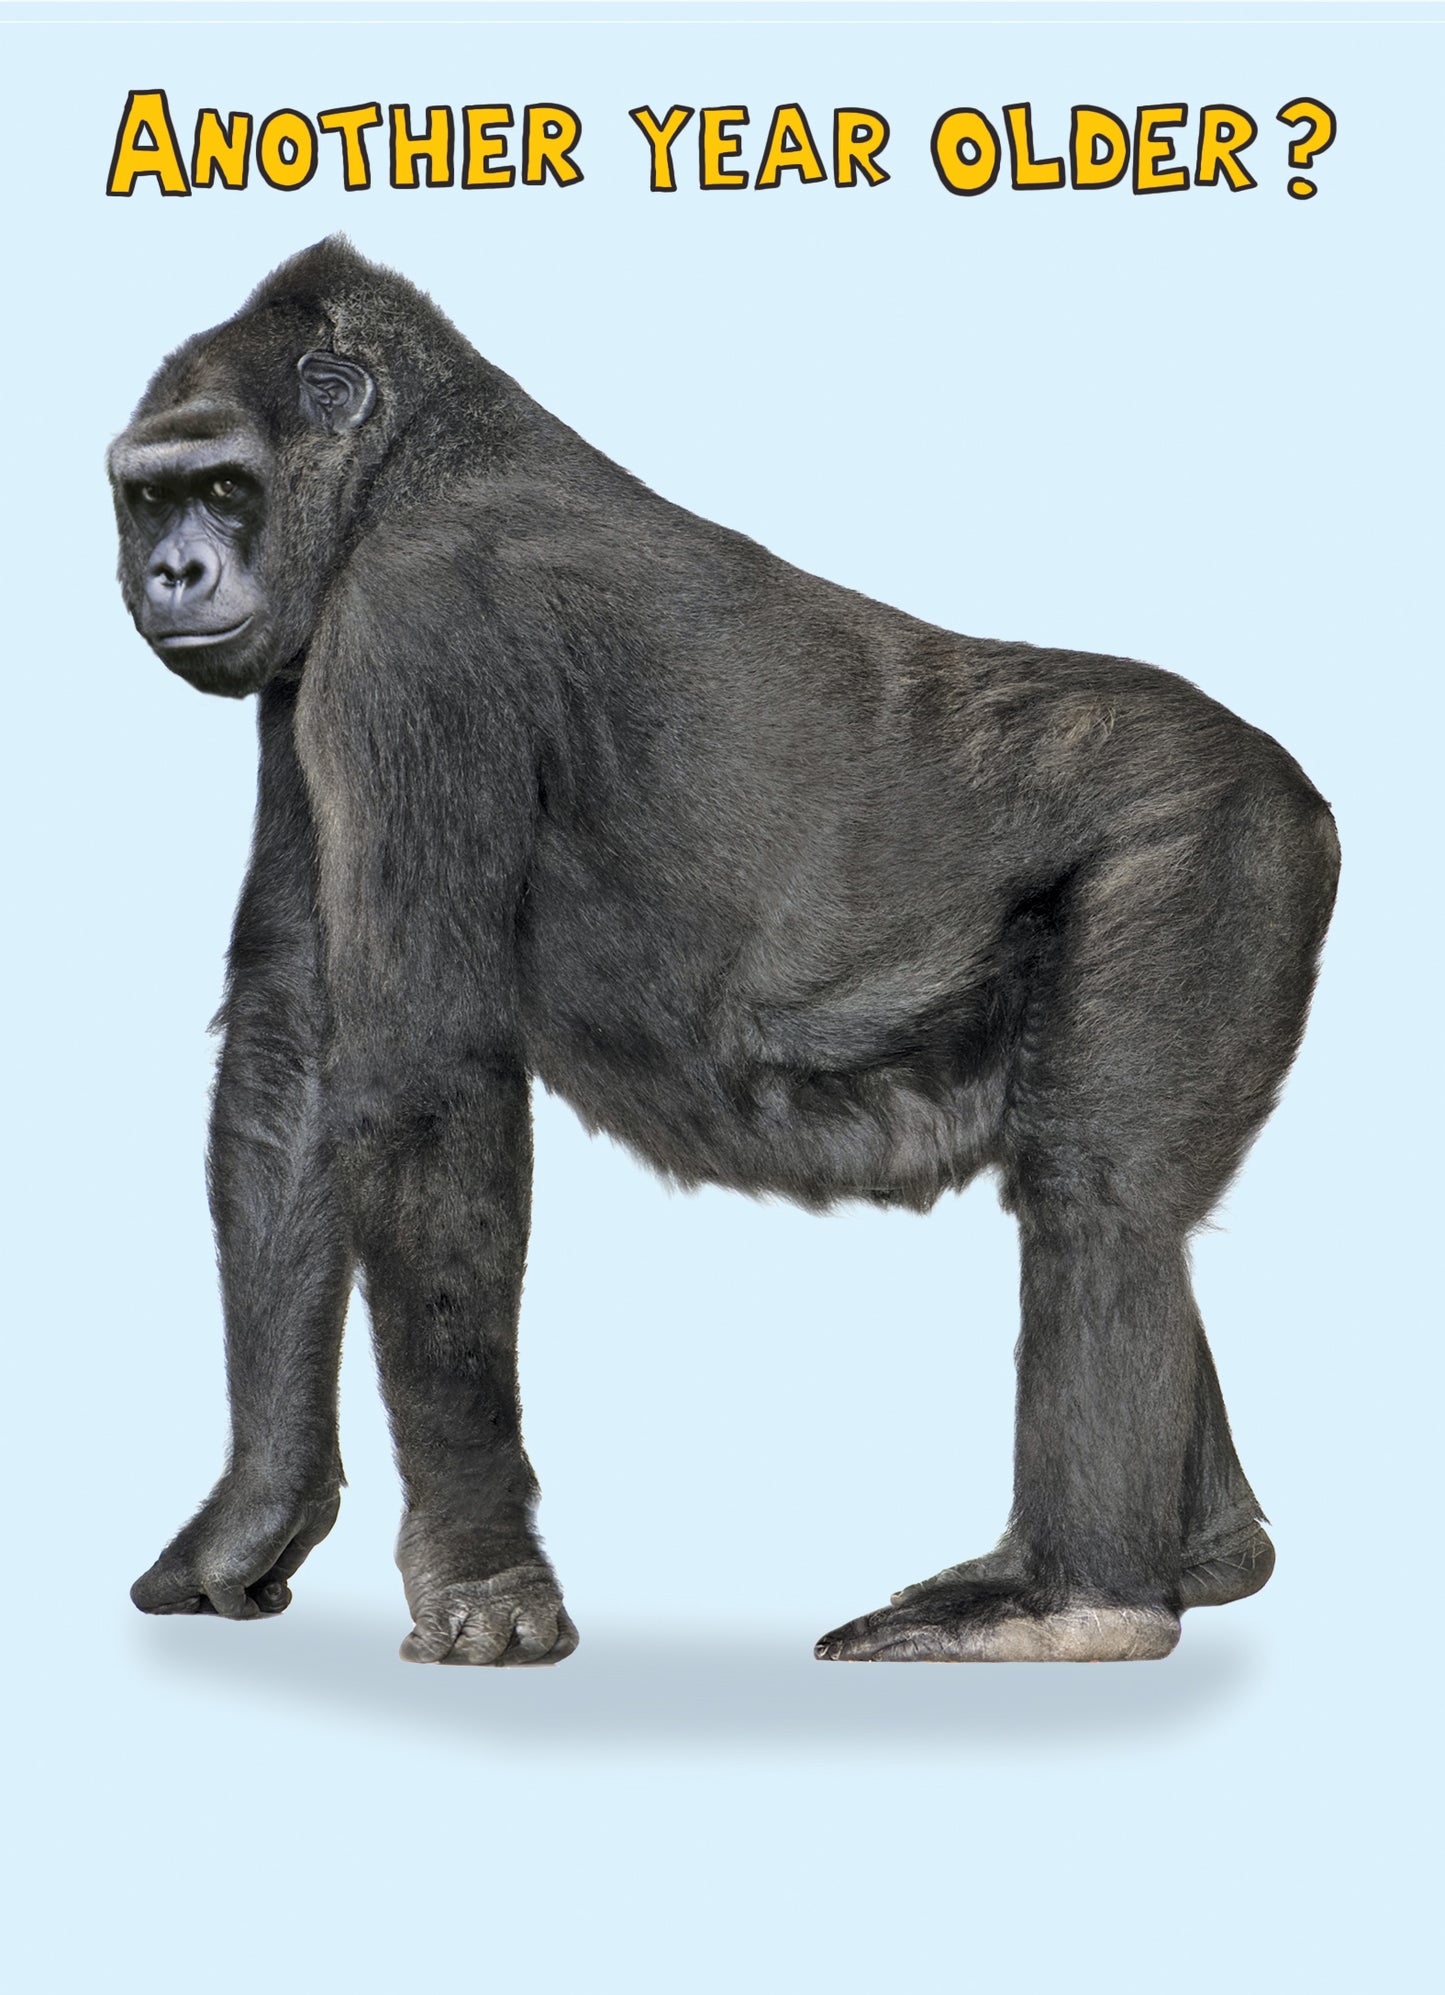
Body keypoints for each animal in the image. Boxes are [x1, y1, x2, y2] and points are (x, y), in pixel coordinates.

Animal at [109, 238, 1338, 1665]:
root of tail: (1298, 788)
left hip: (1222, 835)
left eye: (224, 487)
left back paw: (1083, 1599)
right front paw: (254, 1513)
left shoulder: (416, 630)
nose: (173, 574)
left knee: (1102, 1199)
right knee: (1110, 1194)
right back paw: (1200, 1553)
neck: (406, 461)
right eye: (150, 499)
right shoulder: (308, 675)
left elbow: (422, 1079)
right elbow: (293, 1042)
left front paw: (479, 1572)